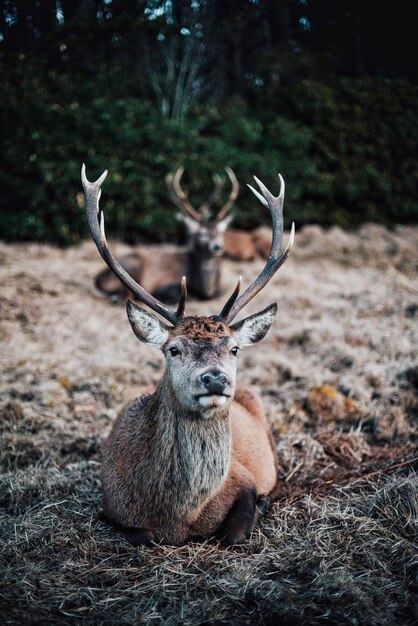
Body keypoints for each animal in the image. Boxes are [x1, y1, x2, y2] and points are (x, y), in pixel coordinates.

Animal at [94, 166, 238, 302]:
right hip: (133, 266)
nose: (217, 246)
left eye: (221, 232)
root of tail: (97, 278)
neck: (206, 289)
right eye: (201, 233)